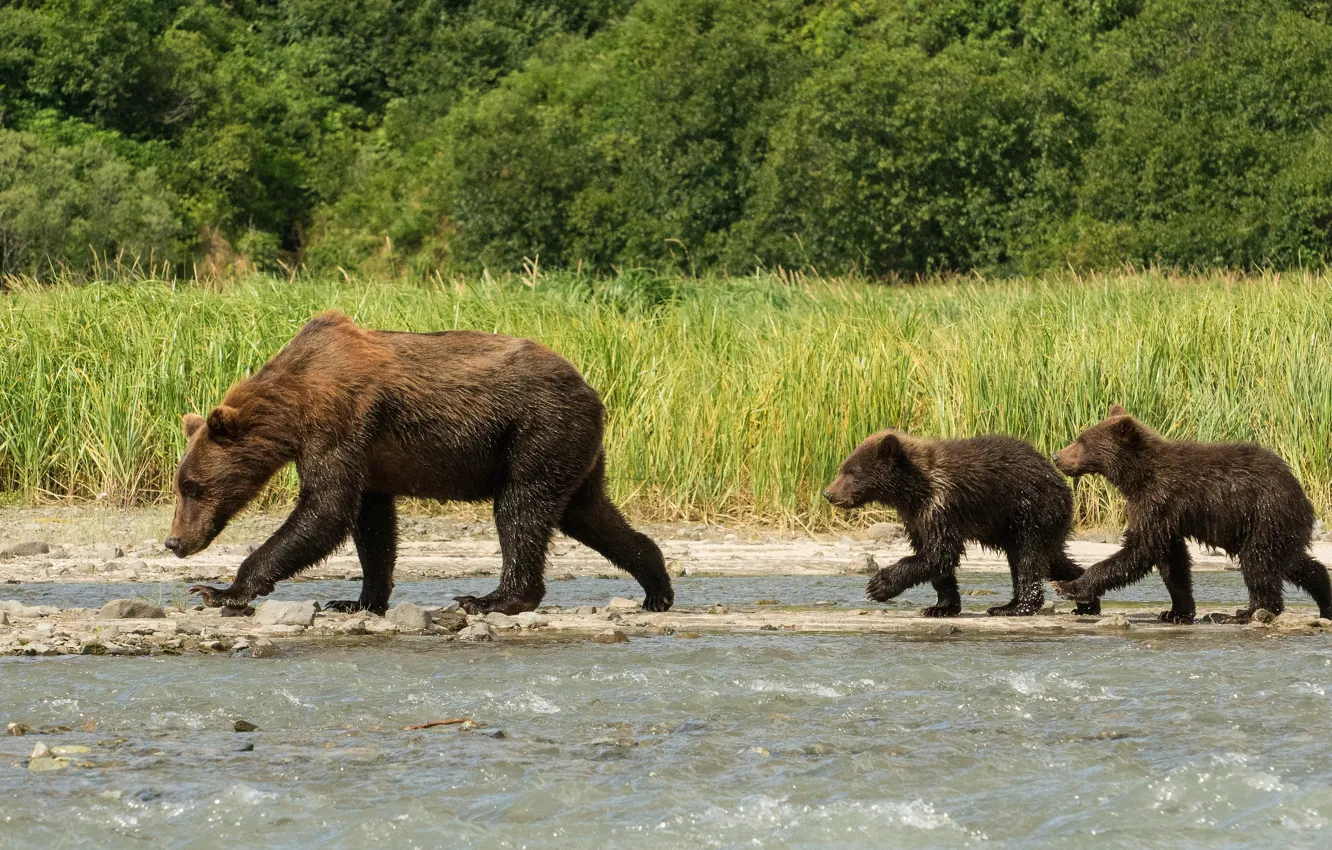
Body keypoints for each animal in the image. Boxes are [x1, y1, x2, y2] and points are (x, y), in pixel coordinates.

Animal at [165, 310, 673, 616]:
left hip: (538, 429)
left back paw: (492, 599)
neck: (293, 404)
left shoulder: (339, 423)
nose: (174, 542)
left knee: (521, 508)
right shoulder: (369, 456)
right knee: (587, 513)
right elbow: (371, 526)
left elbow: (325, 509)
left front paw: (218, 590)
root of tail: (591, 390)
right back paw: (656, 587)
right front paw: (356, 600)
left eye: (192, 486)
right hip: (573, 447)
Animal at [823, 430, 1099, 617]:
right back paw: (1086, 599)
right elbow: (934, 558)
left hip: (1031, 513)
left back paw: (1013, 606)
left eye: (852, 472)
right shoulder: (917, 517)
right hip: (1029, 525)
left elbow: (940, 553)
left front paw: (878, 585)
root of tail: (1063, 487)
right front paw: (940, 607)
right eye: (844, 468)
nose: (828, 493)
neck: (913, 490)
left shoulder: (943, 505)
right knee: (1051, 559)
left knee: (1027, 559)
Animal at [1051, 405, 1332, 623]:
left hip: (1265, 512)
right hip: (1275, 526)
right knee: (1293, 562)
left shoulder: (1159, 501)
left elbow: (1138, 550)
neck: (1138, 478)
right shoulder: (1167, 516)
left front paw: (1067, 586)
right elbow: (1172, 562)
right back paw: (1325, 599)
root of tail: (1300, 491)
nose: (1056, 456)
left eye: (1082, 441)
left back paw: (1241, 613)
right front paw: (1175, 612)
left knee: (1258, 562)